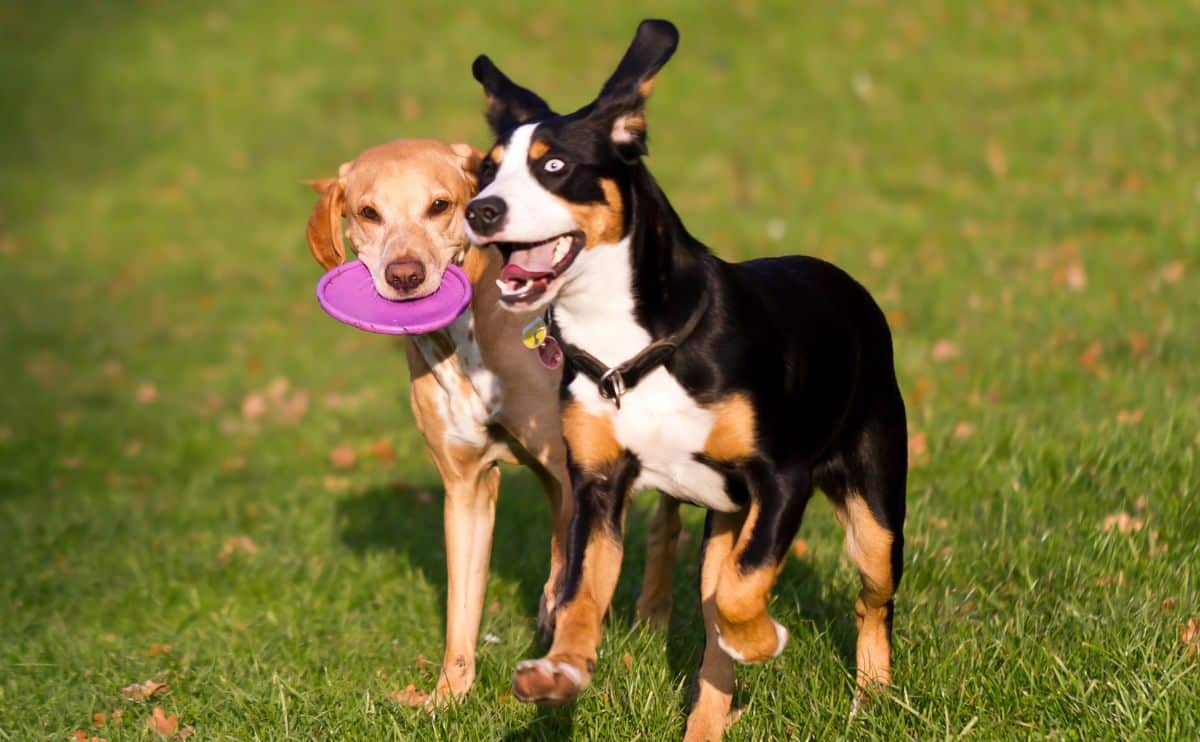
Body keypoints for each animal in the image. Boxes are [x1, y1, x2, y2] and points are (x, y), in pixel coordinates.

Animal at [304, 138, 686, 701]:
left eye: (439, 205)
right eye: (368, 213)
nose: (405, 275)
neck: (467, 339)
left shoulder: (575, 470)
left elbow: (572, 568)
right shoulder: (466, 488)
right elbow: (462, 606)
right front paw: (449, 695)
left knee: (666, 519)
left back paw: (652, 613)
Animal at [463, 20, 902, 734]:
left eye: (554, 166)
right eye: (487, 168)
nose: (481, 211)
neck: (631, 351)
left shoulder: (782, 479)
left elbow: (742, 591)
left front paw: (764, 640)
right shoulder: (597, 482)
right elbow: (583, 591)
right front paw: (560, 670)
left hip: (874, 505)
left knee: (872, 599)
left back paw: (873, 696)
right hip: (724, 521)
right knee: (711, 624)